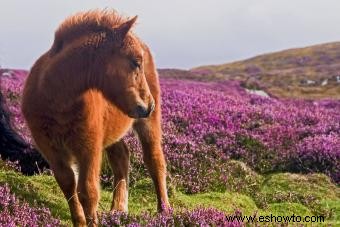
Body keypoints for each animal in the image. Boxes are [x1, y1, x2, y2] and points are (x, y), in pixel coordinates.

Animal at [20, 9, 169, 226]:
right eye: (135, 62)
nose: (149, 105)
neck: (56, 98)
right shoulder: (51, 149)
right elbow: (68, 184)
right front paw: (80, 221)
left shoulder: (89, 147)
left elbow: (88, 191)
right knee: (121, 157)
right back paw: (118, 209)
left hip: (148, 124)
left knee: (155, 160)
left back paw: (164, 211)